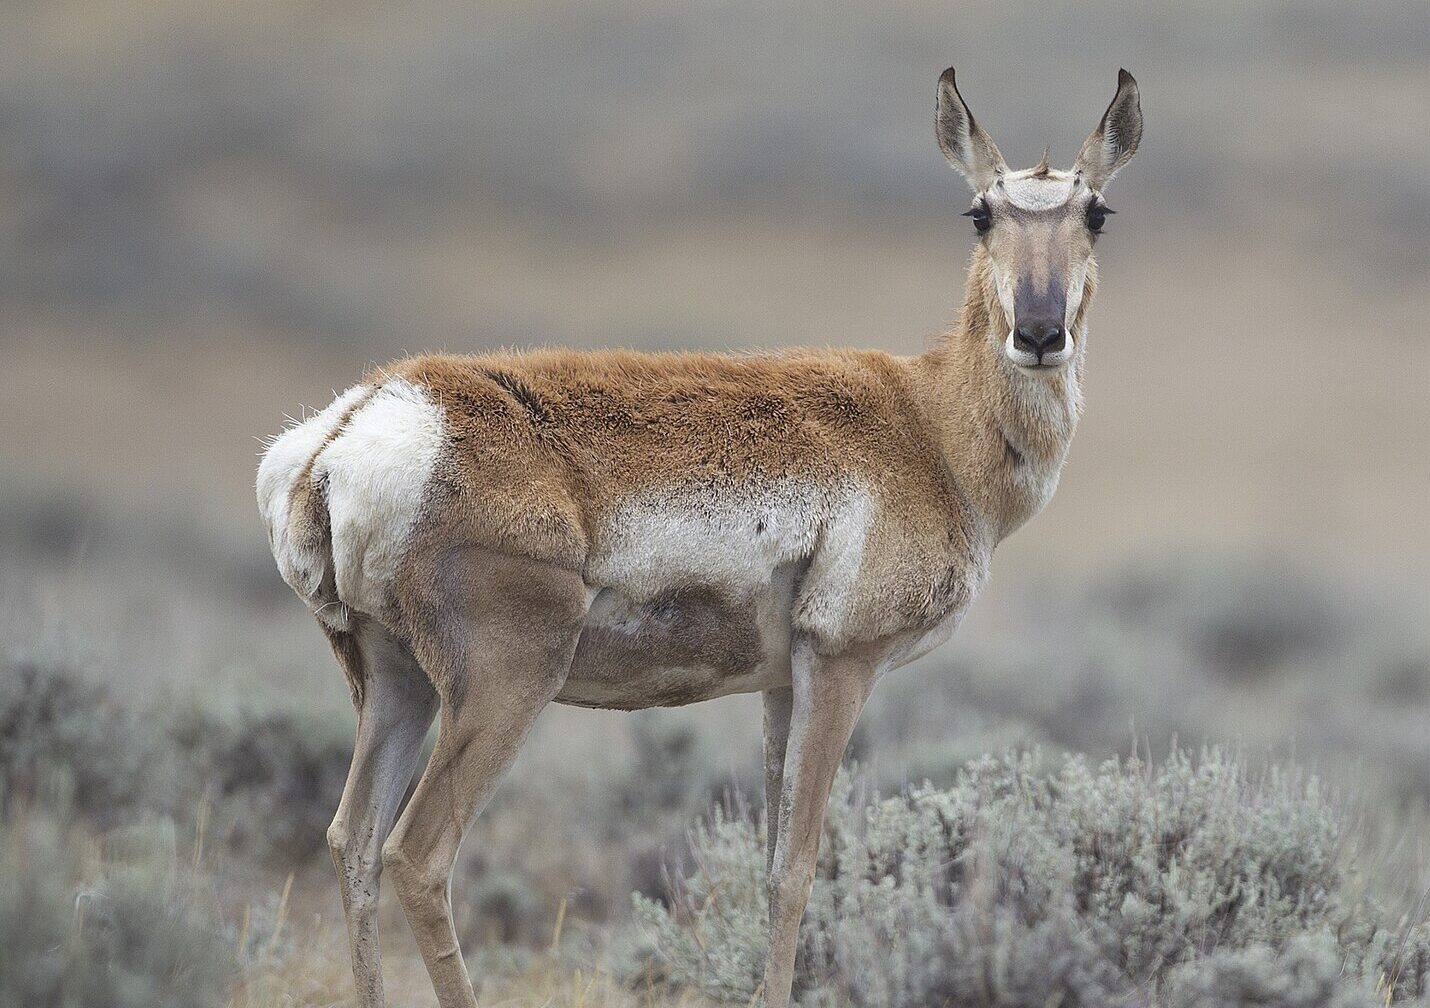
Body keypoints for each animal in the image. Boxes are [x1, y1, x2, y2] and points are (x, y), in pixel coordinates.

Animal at [256, 67, 1142, 1008]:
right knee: (417, 857)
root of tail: (356, 424)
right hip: (504, 687)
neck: (926, 421)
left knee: (351, 843)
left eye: (1096, 213)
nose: (1039, 333)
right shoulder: (843, 665)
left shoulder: (782, 684)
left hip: (395, 685)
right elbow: (797, 869)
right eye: (981, 212)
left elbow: (769, 859)